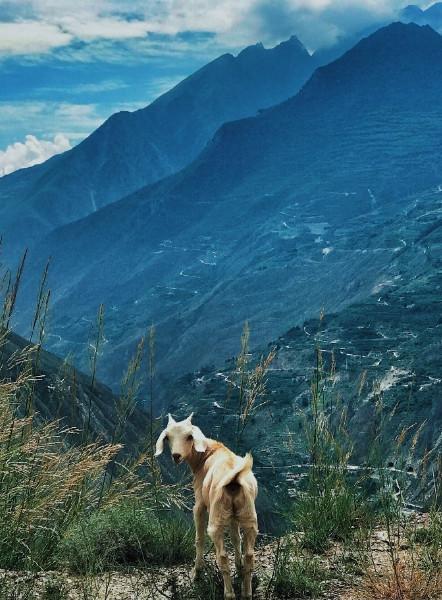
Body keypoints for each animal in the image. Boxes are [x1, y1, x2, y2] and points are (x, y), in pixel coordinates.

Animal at [155, 412, 258, 600]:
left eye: (189, 436)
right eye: (168, 437)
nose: (176, 456)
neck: (207, 454)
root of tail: (234, 478)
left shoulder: (199, 505)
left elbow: (199, 538)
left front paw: (197, 573)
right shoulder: (233, 517)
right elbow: (235, 538)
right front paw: (238, 567)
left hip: (216, 518)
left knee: (222, 556)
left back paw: (229, 594)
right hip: (248, 516)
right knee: (249, 555)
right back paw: (246, 593)